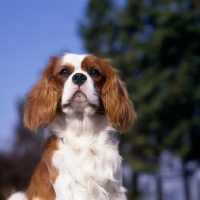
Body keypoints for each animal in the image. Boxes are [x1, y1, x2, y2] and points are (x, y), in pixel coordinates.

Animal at [8, 53, 136, 200]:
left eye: (94, 72)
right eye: (64, 72)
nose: (79, 76)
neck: (82, 131)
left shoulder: (115, 191)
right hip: (17, 195)